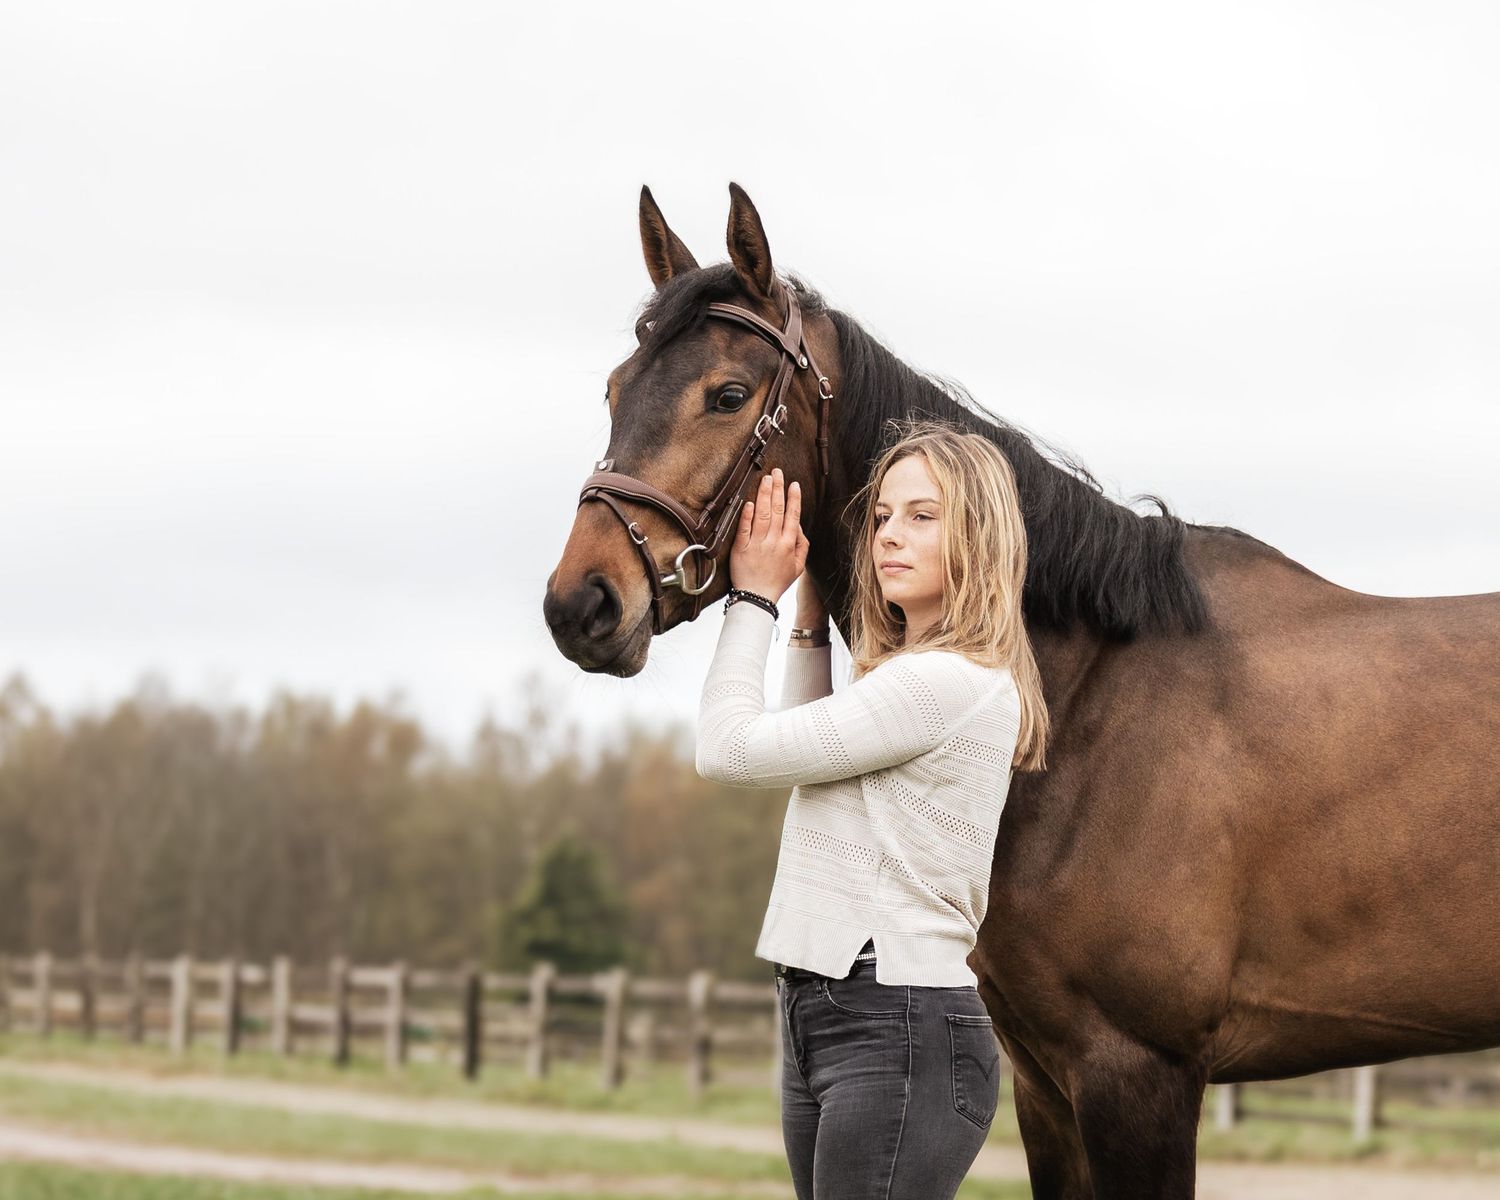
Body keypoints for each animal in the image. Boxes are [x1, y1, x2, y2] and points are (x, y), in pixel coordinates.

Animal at [542, 182, 1500, 1198]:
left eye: (725, 395)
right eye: (615, 390)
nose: (582, 602)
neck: (1088, 702)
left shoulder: (1138, 1074)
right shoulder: (1047, 1084)